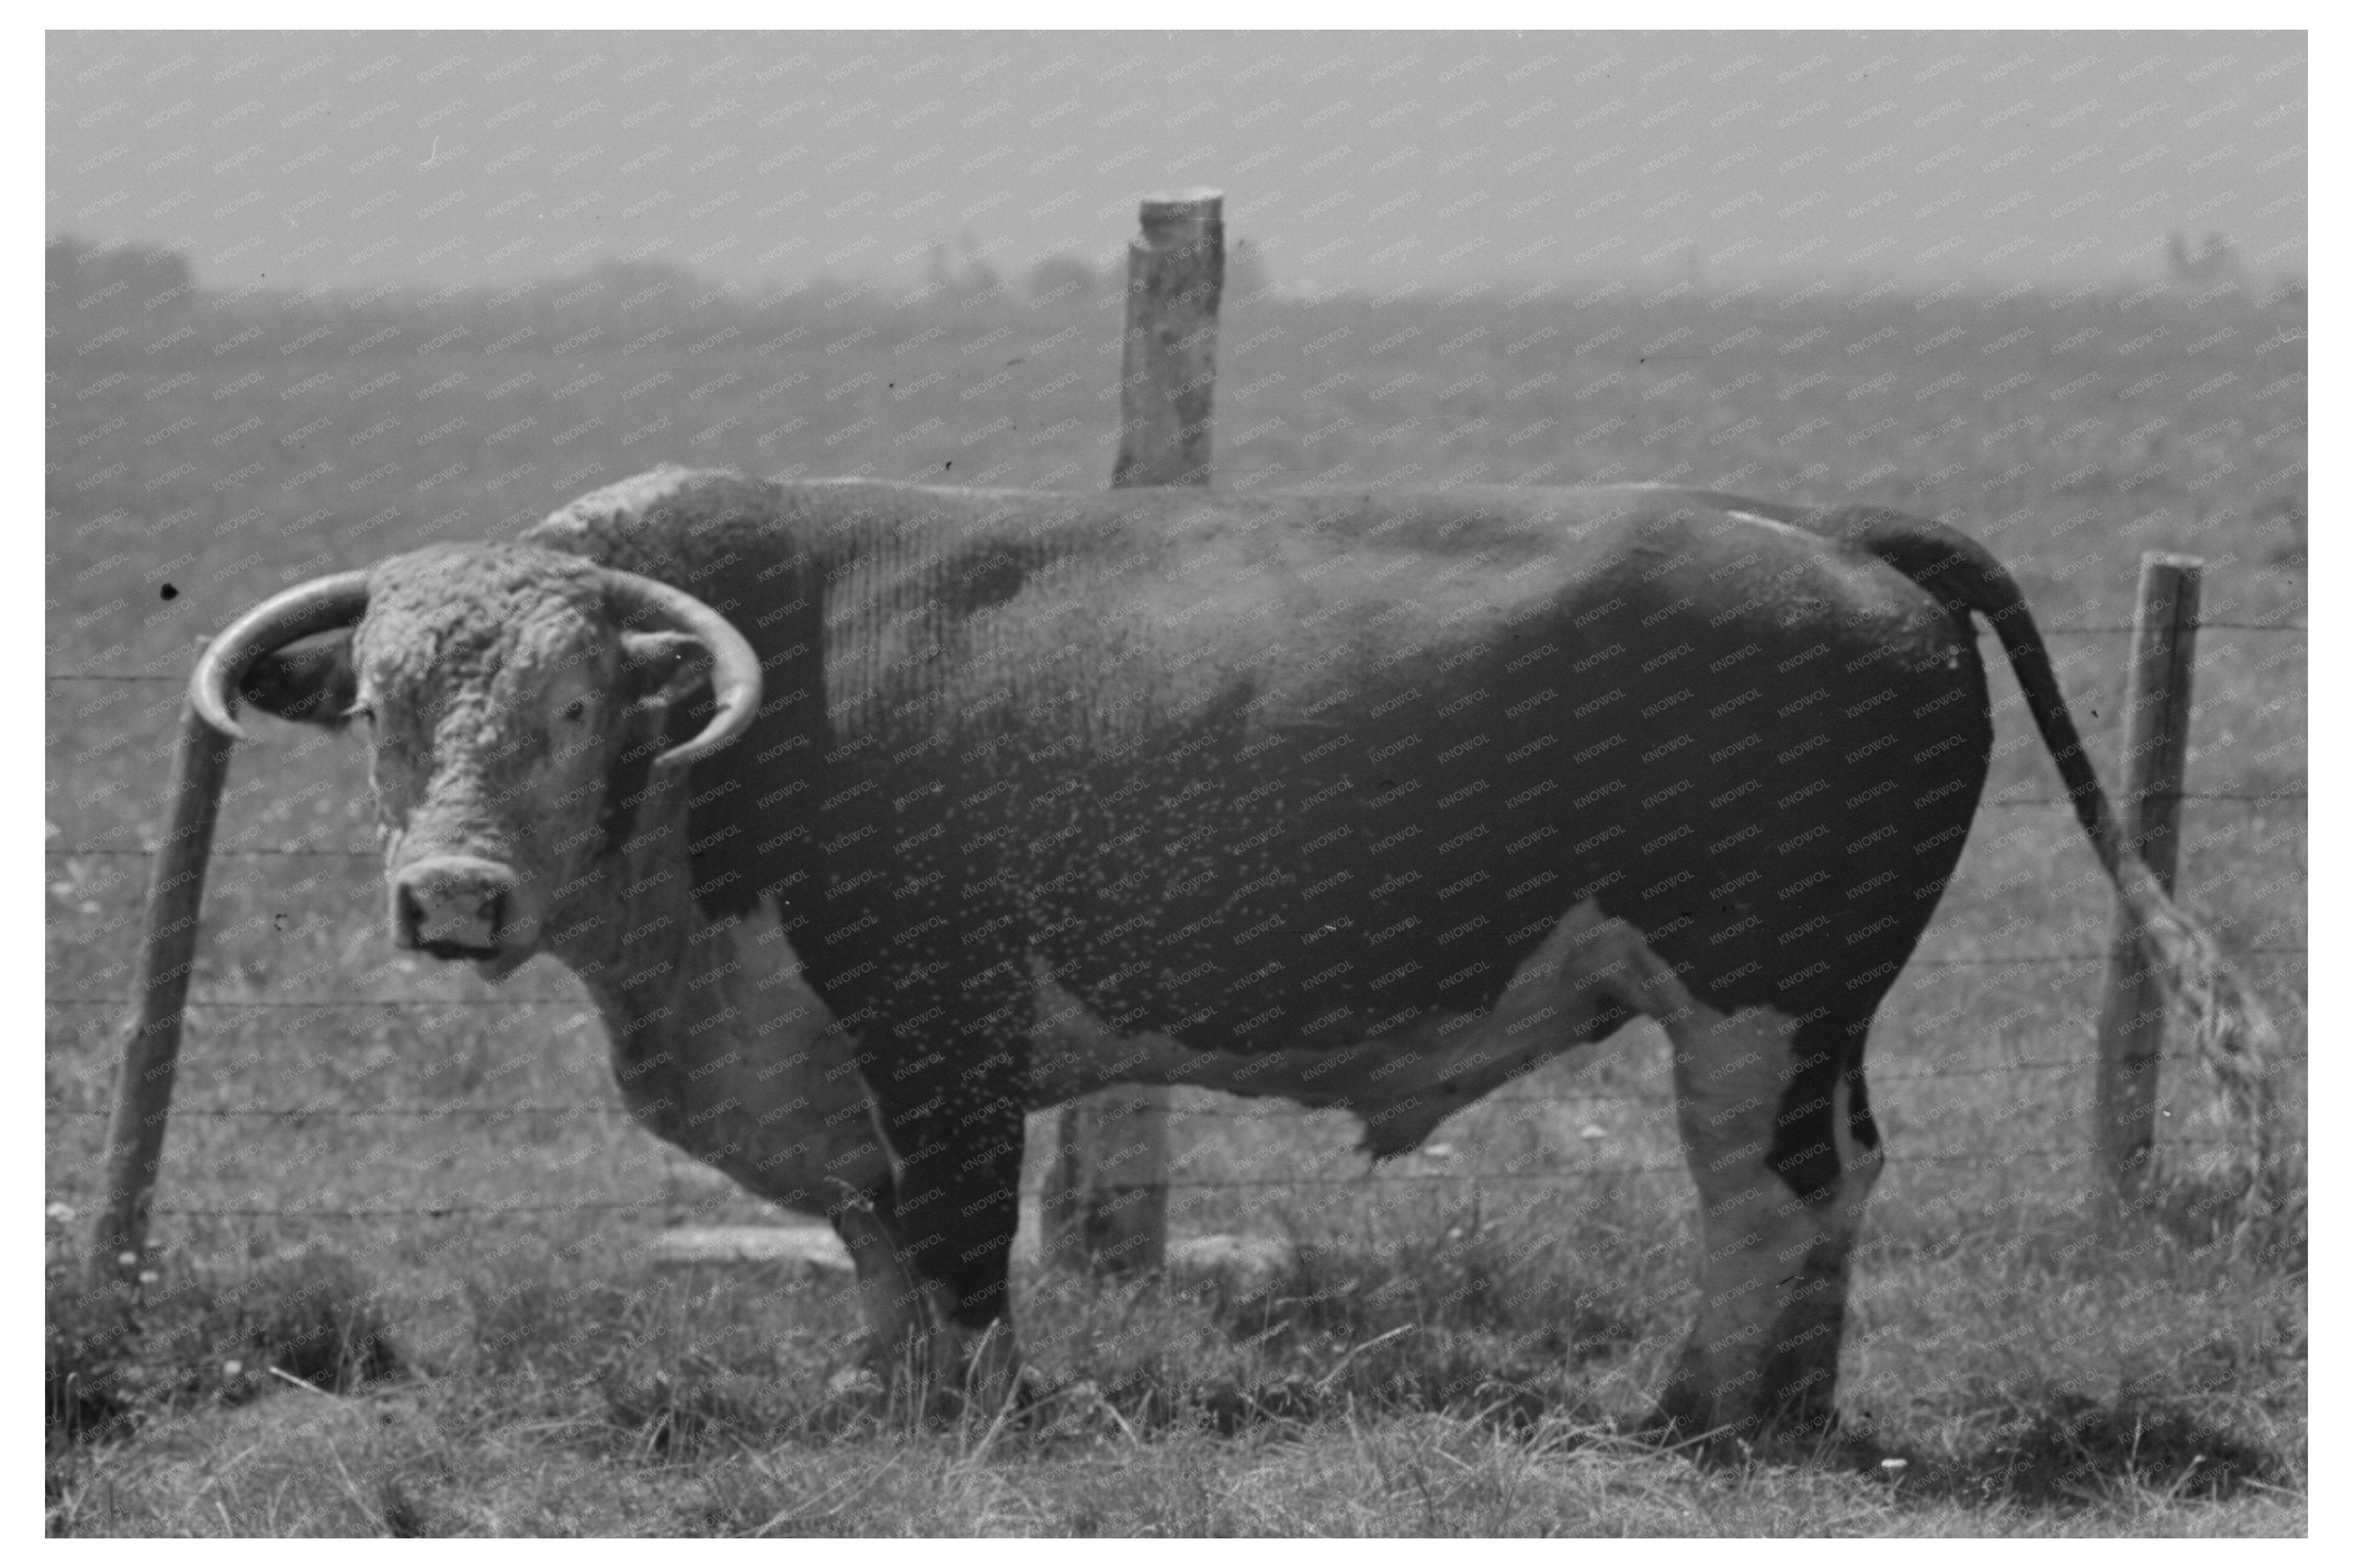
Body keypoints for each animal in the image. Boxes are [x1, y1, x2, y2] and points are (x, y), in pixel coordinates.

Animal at [165, 466, 2259, 1440]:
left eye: (582, 707)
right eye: (378, 708)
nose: (453, 896)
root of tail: (1825, 530)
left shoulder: (939, 1032)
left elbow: (950, 1236)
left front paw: (979, 1419)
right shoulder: (826, 1066)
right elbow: (871, 1238)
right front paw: (882, 1397)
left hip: (1750, 1001)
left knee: (1765, 1189)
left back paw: (1702, 1413)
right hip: (1813, 1008)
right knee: (1836, 1181)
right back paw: (1790, 1404)